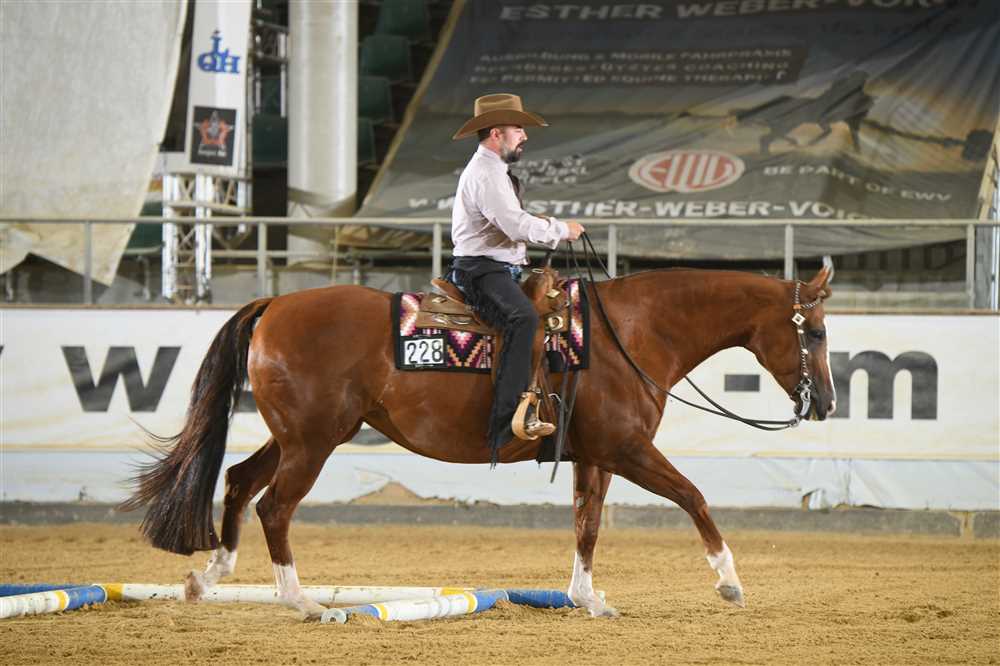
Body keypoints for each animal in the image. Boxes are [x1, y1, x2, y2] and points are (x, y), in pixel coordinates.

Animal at [122, 263, 836, 619]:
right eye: (820, 332)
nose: (826, 403)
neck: (631, 332)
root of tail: (274, 305)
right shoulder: (628, 450)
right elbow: (695, 498)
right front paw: (730, 583)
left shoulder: (596, 456)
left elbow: (587, 523)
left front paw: (586, 598)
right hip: (313, 442)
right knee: (274, 506)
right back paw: (300, 601)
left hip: (303, 435)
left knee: (240, 480)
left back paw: (208, 578)